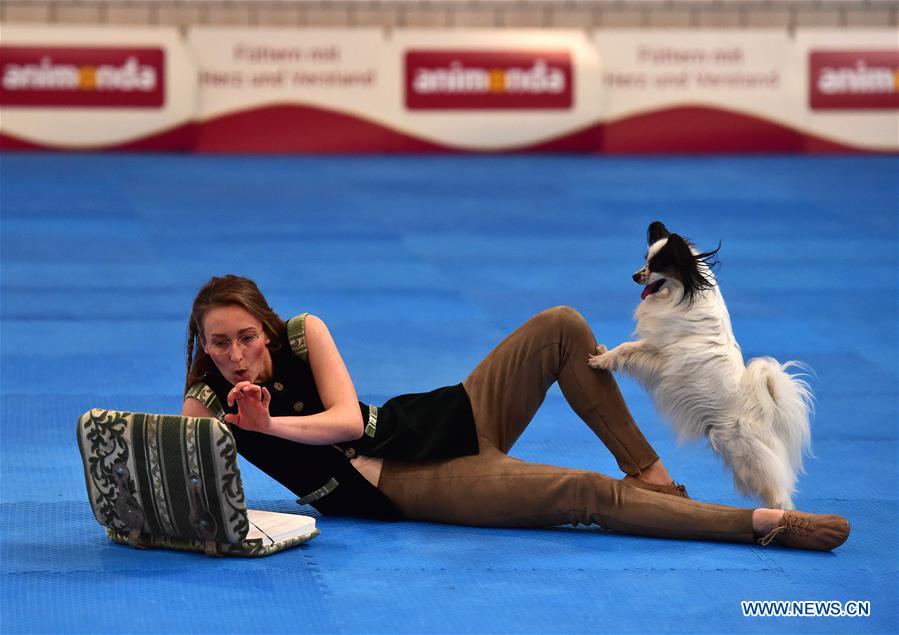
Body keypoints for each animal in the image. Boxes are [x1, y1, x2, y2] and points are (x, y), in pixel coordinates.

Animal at [592, 221, 816, 510]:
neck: (685, 295)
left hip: (747, 454)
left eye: (657, 266)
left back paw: (778, 514)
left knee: (779, 492)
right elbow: (626, 347)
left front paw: (601, 360)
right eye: (646, 261)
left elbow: (627, 349)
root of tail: (763, 411)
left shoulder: (660, 356)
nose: (634, 276)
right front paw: (602, 352)